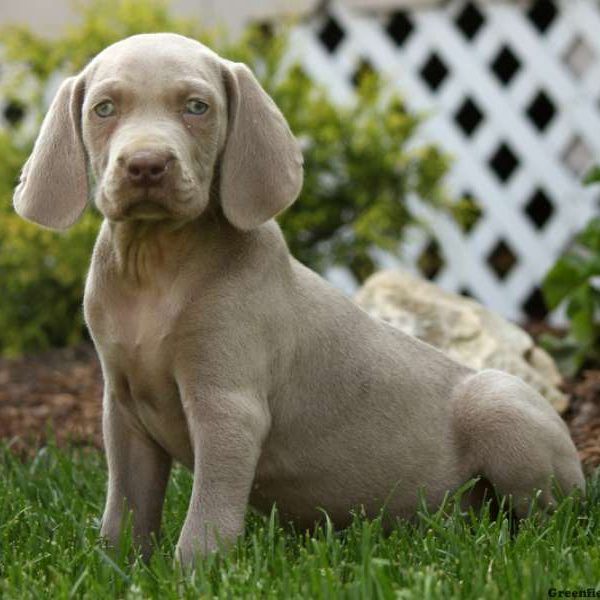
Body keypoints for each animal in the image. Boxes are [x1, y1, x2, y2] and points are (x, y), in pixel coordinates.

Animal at [12, 32, 584, 568]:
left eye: (197, 107)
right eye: (104, 109)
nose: (147, 166)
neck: (156, 265)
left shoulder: (228, 407)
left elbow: (207, 515)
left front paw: (195, 576)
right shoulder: (124, 409)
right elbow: (126, 508)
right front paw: (120, 568)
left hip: (501, 404)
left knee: (550, 519)